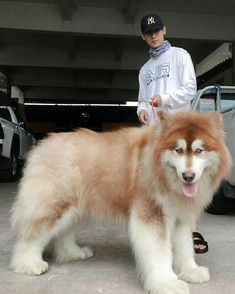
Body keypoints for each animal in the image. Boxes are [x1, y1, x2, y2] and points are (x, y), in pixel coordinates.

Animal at [11, 111, 231, 294]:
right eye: (178, 150)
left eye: (199, 150)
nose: (188, 176)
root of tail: (43, 145)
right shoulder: (151, 216)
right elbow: (160, 253)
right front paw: (166, 283)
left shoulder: (181, 218)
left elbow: (185, 248)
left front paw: (190, 271)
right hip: (55, 205)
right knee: (32, 236)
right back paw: (29, 264)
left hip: (78, 209)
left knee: (64, 234)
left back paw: (73, 253)